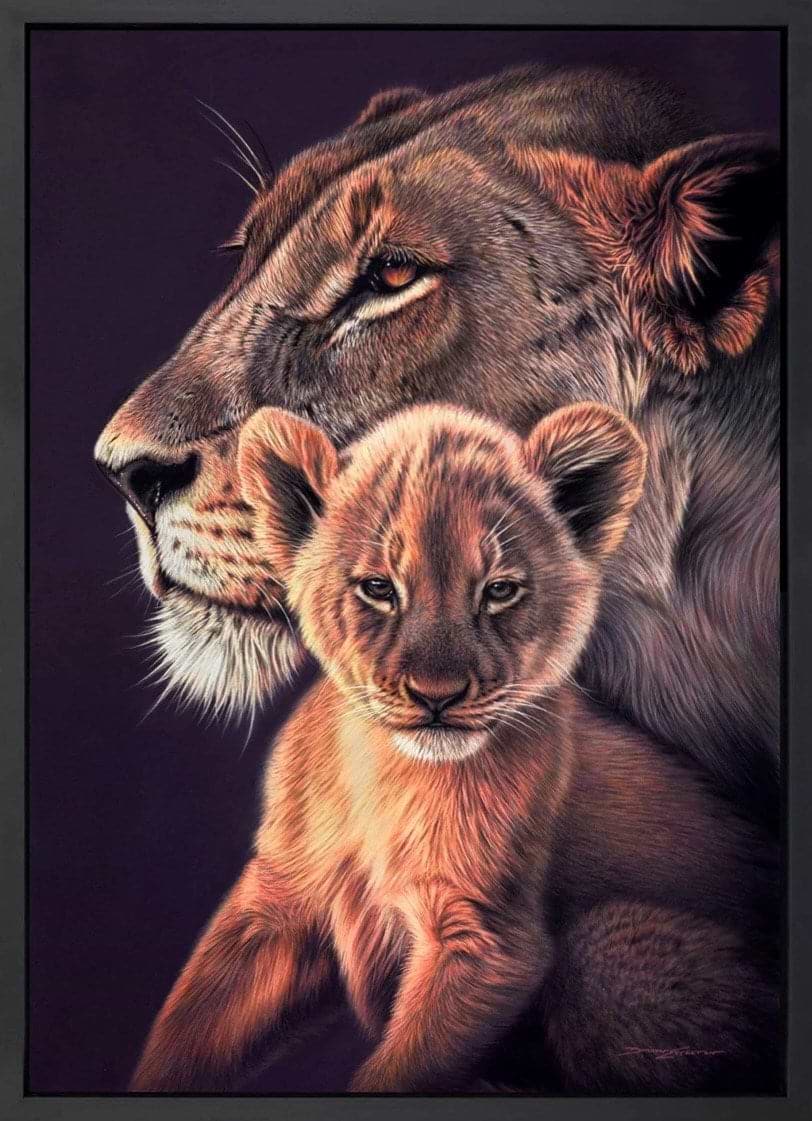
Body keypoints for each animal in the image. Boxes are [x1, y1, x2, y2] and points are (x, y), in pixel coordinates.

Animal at [129, 402, 778, 1094]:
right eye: (378, 588)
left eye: (499, 590)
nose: (435, 696)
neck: (386, 773)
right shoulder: (274, 904)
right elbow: (189, 1028)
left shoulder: (482, 941)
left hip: (608, 950)